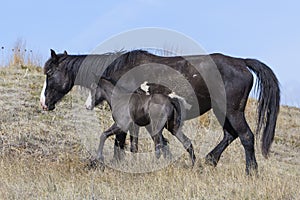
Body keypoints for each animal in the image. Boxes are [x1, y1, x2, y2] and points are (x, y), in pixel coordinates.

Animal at [39, 49, 278, 174]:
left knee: (246, 136)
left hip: (232, 110)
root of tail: (242, 62)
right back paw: (208, 161)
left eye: (50, 73)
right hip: (223, 111)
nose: (43, 103)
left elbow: (121, 142)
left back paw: (251, 172)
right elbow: (149, 144)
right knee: (230, 134)